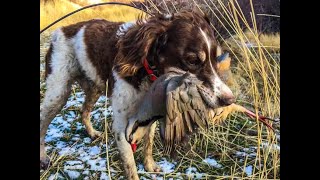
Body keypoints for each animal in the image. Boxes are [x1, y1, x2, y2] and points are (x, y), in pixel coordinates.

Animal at [40, 10, 235, 179]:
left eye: (217, 58)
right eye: (192, 60)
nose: (229, 100)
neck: (146, 72)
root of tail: (62, 29)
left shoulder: (150, 114)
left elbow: (148, 143)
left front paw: (150, 166)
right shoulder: (121, 127)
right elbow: (130, 166)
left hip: (94, 87)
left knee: (84, 111)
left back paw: (92, 133)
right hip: (57, 94)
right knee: (43, 123)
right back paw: (43, 158)